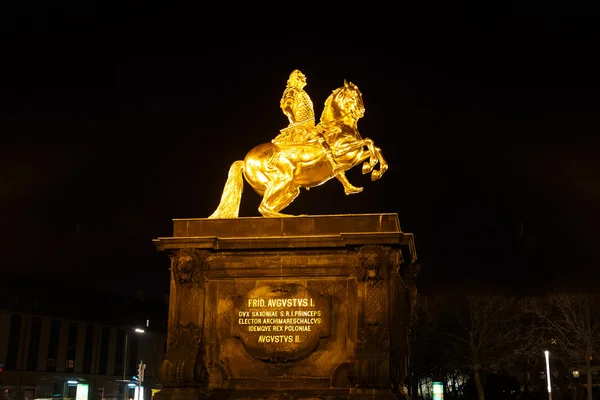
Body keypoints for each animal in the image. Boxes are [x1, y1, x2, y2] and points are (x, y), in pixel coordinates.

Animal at [209, 81, 386, 219]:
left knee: (268, 208)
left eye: (360, 94)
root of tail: (245, 161)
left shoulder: (353, 158)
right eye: (353, 96)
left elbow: (374, 147)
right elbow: (369, 141)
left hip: (290, 190)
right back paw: (296, 216)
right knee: (264, 207)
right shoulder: (341, 152)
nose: (361, 111)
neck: (339, 127)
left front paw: (372, 170)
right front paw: (371, 168)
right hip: (282, 181)